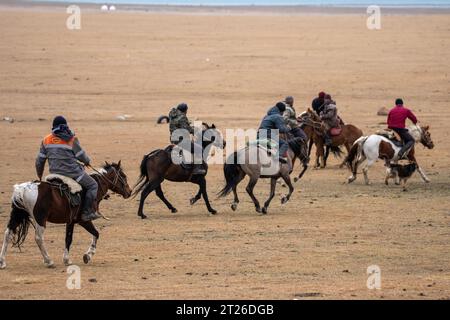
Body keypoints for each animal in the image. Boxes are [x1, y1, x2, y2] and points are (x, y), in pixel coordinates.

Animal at [0, 161, 133, 268]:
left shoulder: (70, 221)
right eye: (123, 176)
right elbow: (95, 233)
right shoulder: (83, 220)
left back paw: (2, 262)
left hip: (16, 215)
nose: (130, 191)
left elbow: (68, 239)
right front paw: (86, 255)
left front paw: (70, 259)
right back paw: (48, 261)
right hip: (40, 219)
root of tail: (22, 190)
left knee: (8, 234)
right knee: (38, 238)